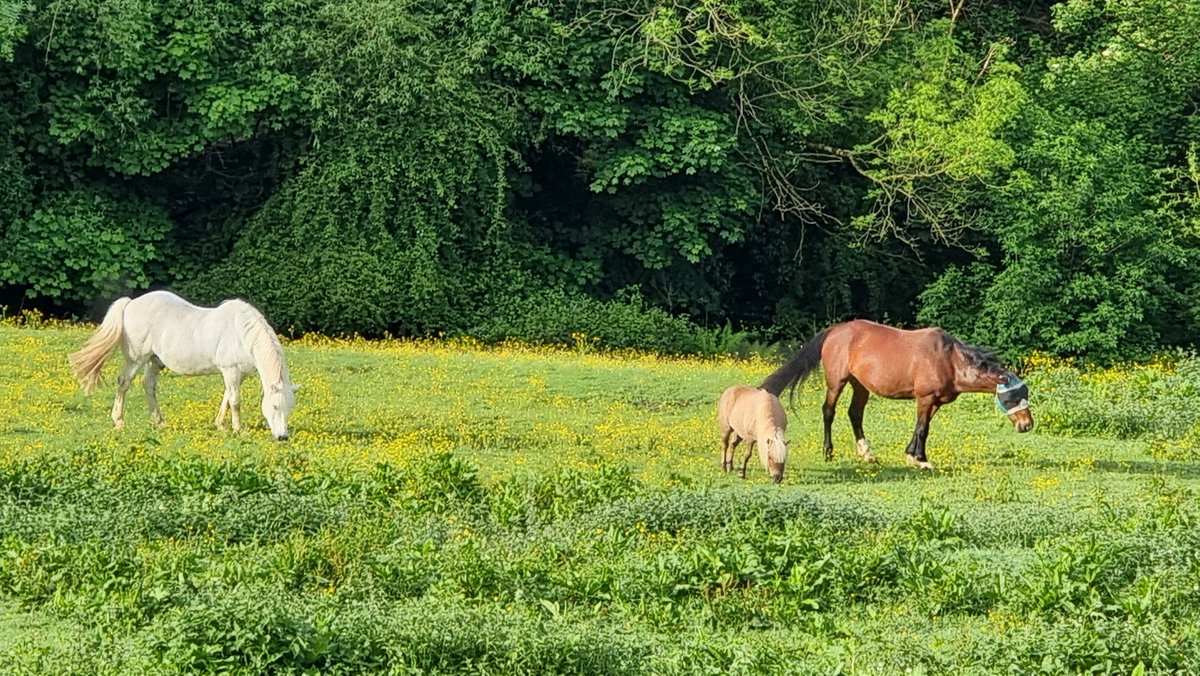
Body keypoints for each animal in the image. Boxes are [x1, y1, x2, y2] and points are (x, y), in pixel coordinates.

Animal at [68, 291, 300, 441]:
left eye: (289, 408)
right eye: (275, 406)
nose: (283, 437)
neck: (242, 332)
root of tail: (131, 303)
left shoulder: (238, 374)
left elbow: (226, 397)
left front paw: (220, 425)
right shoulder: (230, 370)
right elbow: (235, 401)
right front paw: (238, 430)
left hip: (154, 360)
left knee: (148, 385)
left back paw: (159, 422)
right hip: (136, 359)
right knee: (124, 383)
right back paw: (119, 422)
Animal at [758, 321, 1032, 470]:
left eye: (1025, 392)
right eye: (1011, 397)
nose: (1027, 425)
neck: (949, 360)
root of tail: (835, 331)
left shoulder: (935, 401)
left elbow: (921, 427)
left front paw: (911, 455)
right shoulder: (925, 397)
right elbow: (922, 428)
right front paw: (921, 460)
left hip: (860, 386)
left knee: (854, 414)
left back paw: (867, 454)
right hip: (837, 382)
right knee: (829, 411)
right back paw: (828, 452)